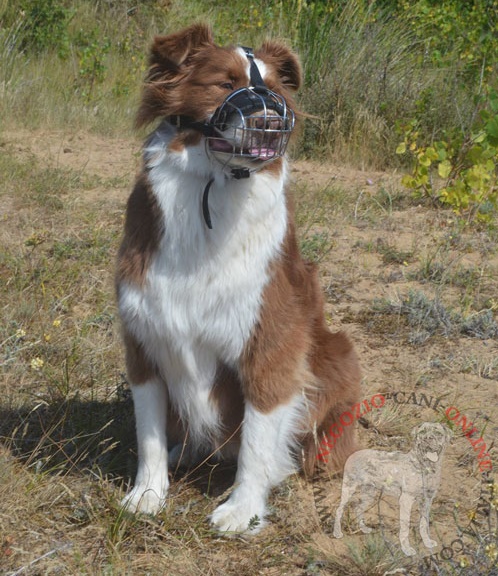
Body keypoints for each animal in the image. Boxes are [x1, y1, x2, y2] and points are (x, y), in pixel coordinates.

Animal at [115, 24, 360, 532]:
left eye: (276, 93)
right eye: (224, 84)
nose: (268, 121)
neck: (214, 192)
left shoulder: (271, 345)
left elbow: (256, 440)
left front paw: (243, 509)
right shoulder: (143, 337)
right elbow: (148, 433)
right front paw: (148, 494)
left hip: (338, 353)